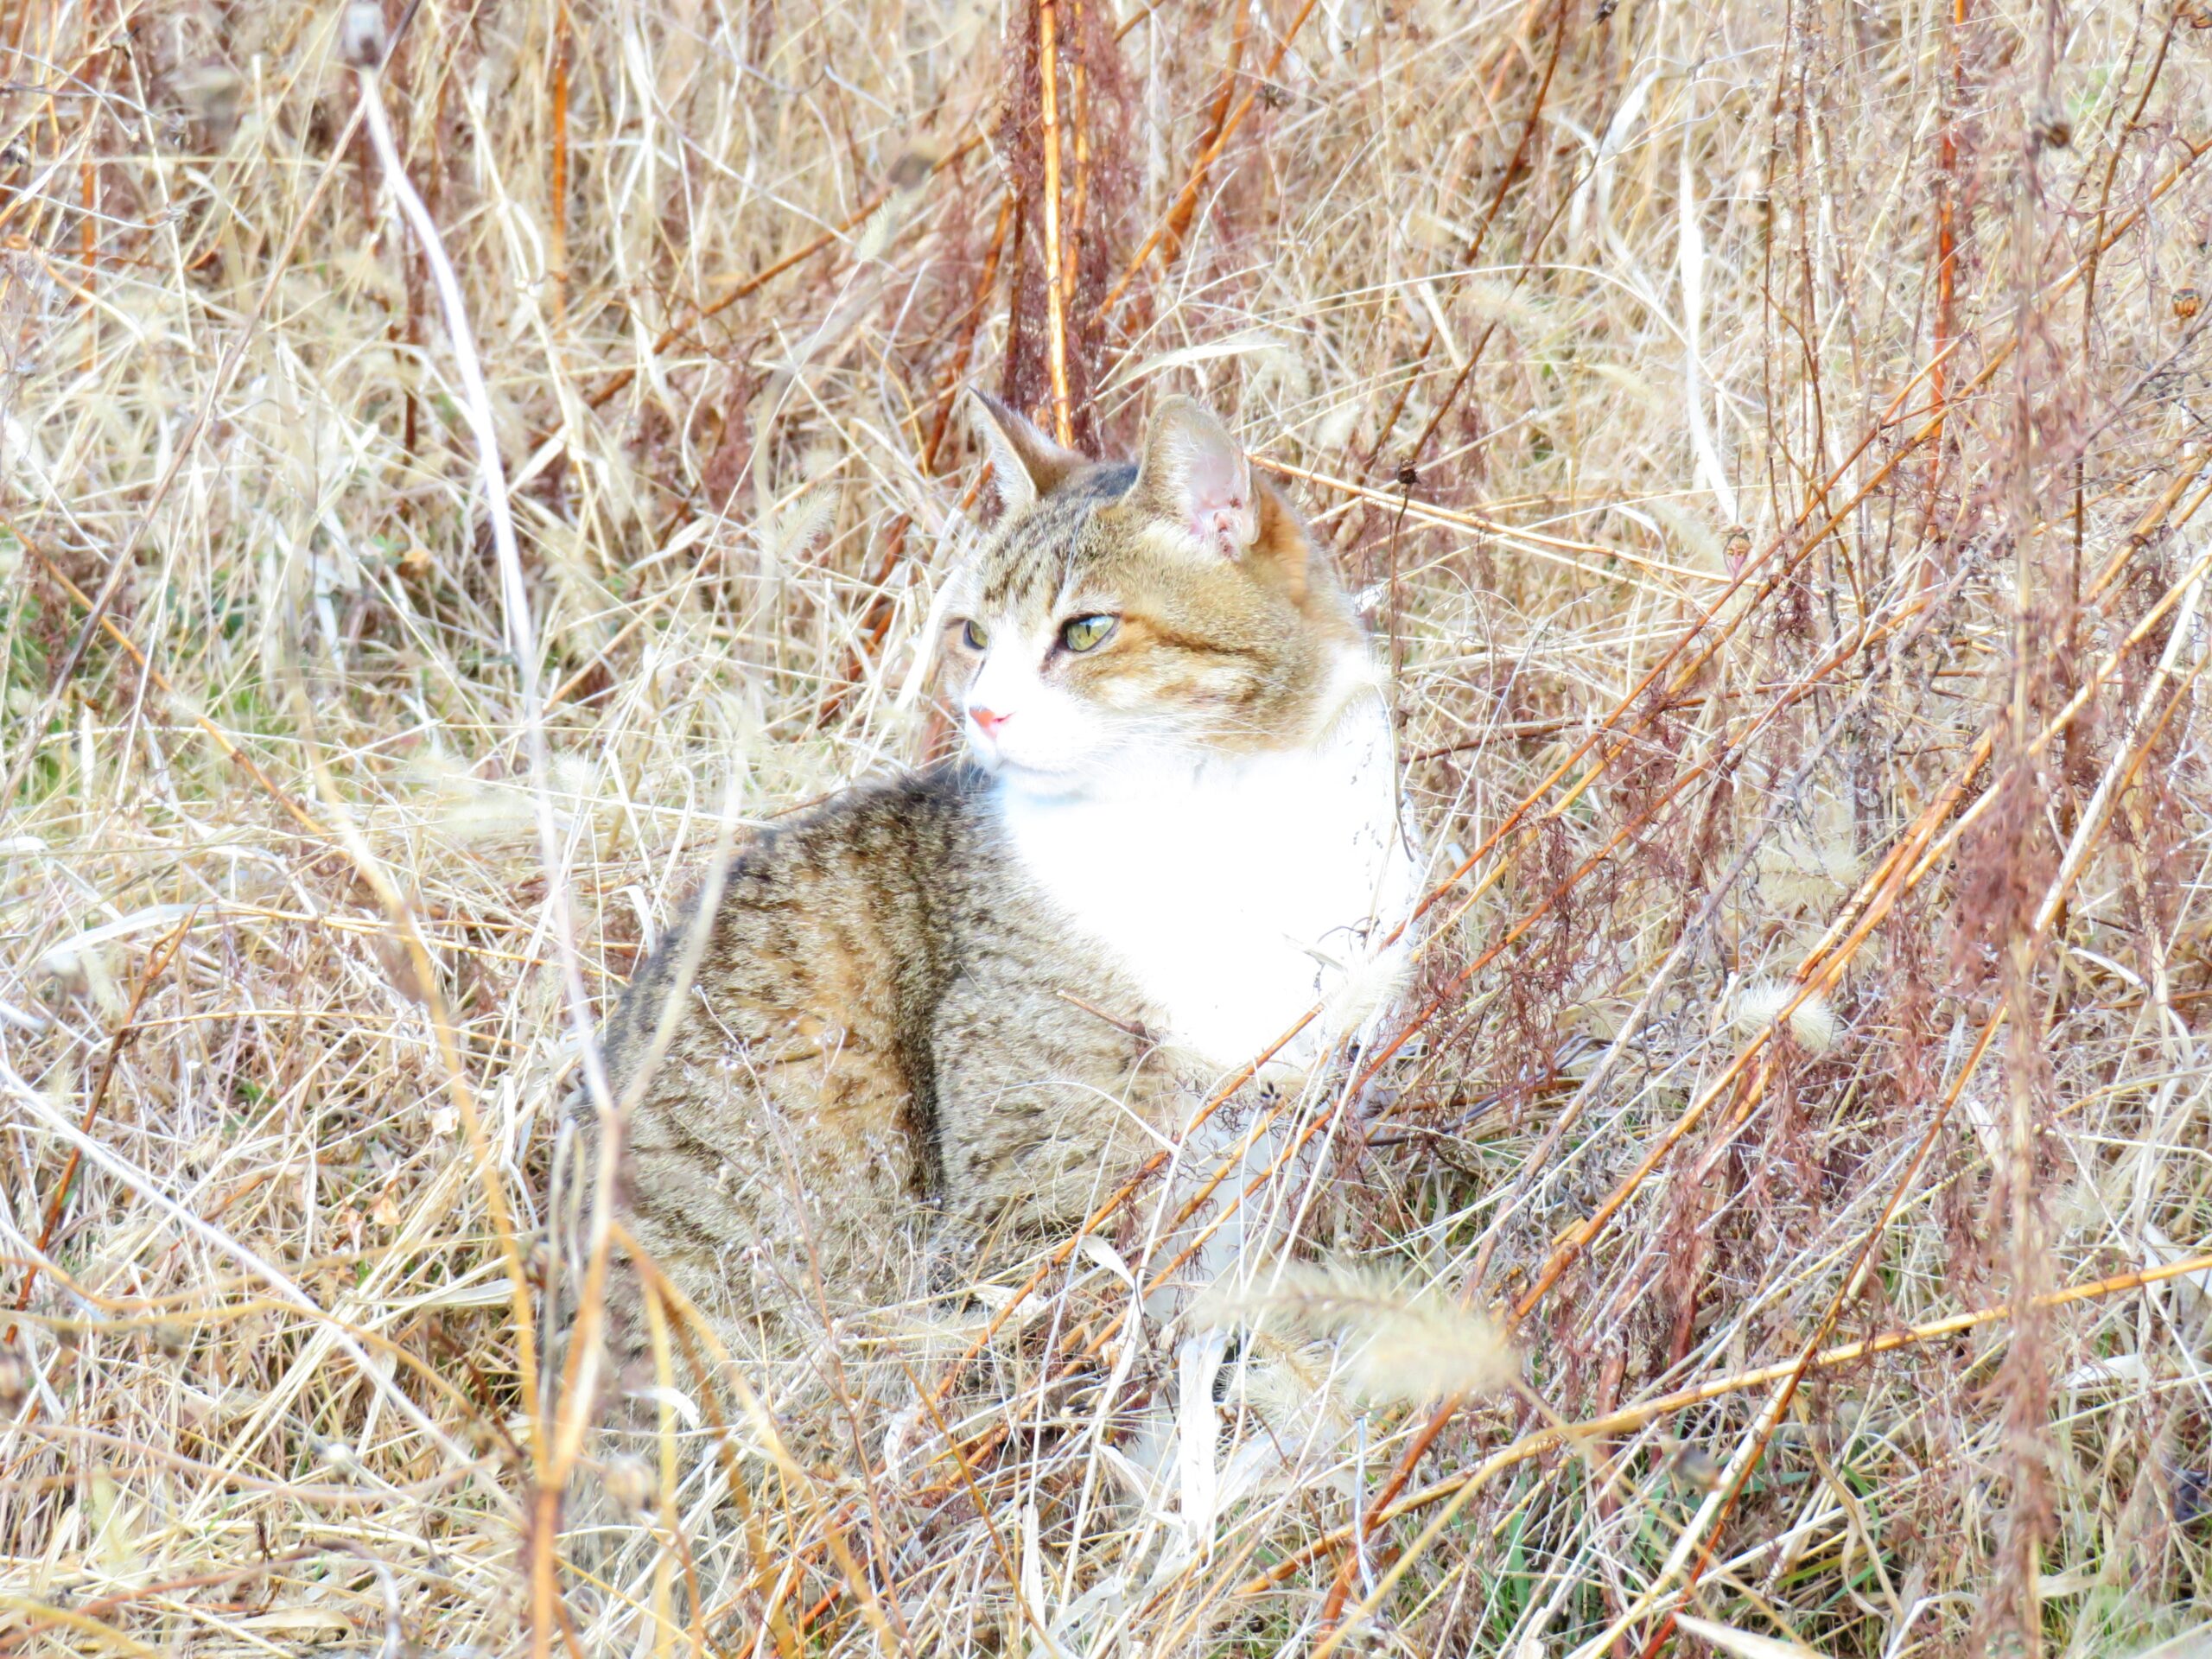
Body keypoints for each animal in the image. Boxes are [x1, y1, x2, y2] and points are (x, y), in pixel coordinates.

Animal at [579, 393, 1415, 1380]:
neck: (1226, 822)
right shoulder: (1044, 1157)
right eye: (974, 635)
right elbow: (1074, 1319)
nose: (982, 711)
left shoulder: (1283, 1121)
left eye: (1086, 630)